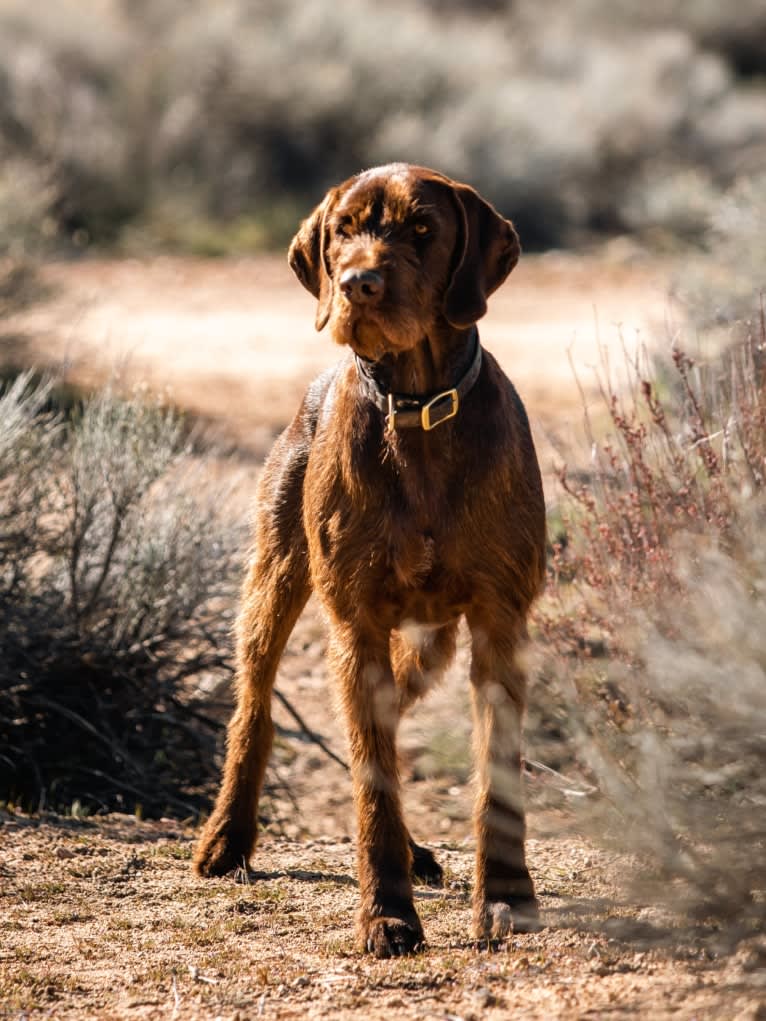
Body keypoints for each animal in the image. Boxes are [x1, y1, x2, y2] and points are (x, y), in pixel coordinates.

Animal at [195, 161, 547, 955]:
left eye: (422, 227)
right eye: (343, 230)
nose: (358, 284)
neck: (417, 410)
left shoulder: (499, 620)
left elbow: (496, 771)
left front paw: (506, 899)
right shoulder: (355, 621)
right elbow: (371, 782)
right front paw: (387, 914)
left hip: (425, 644)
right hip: (278, 583)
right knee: (258, 706)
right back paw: (229, 836)